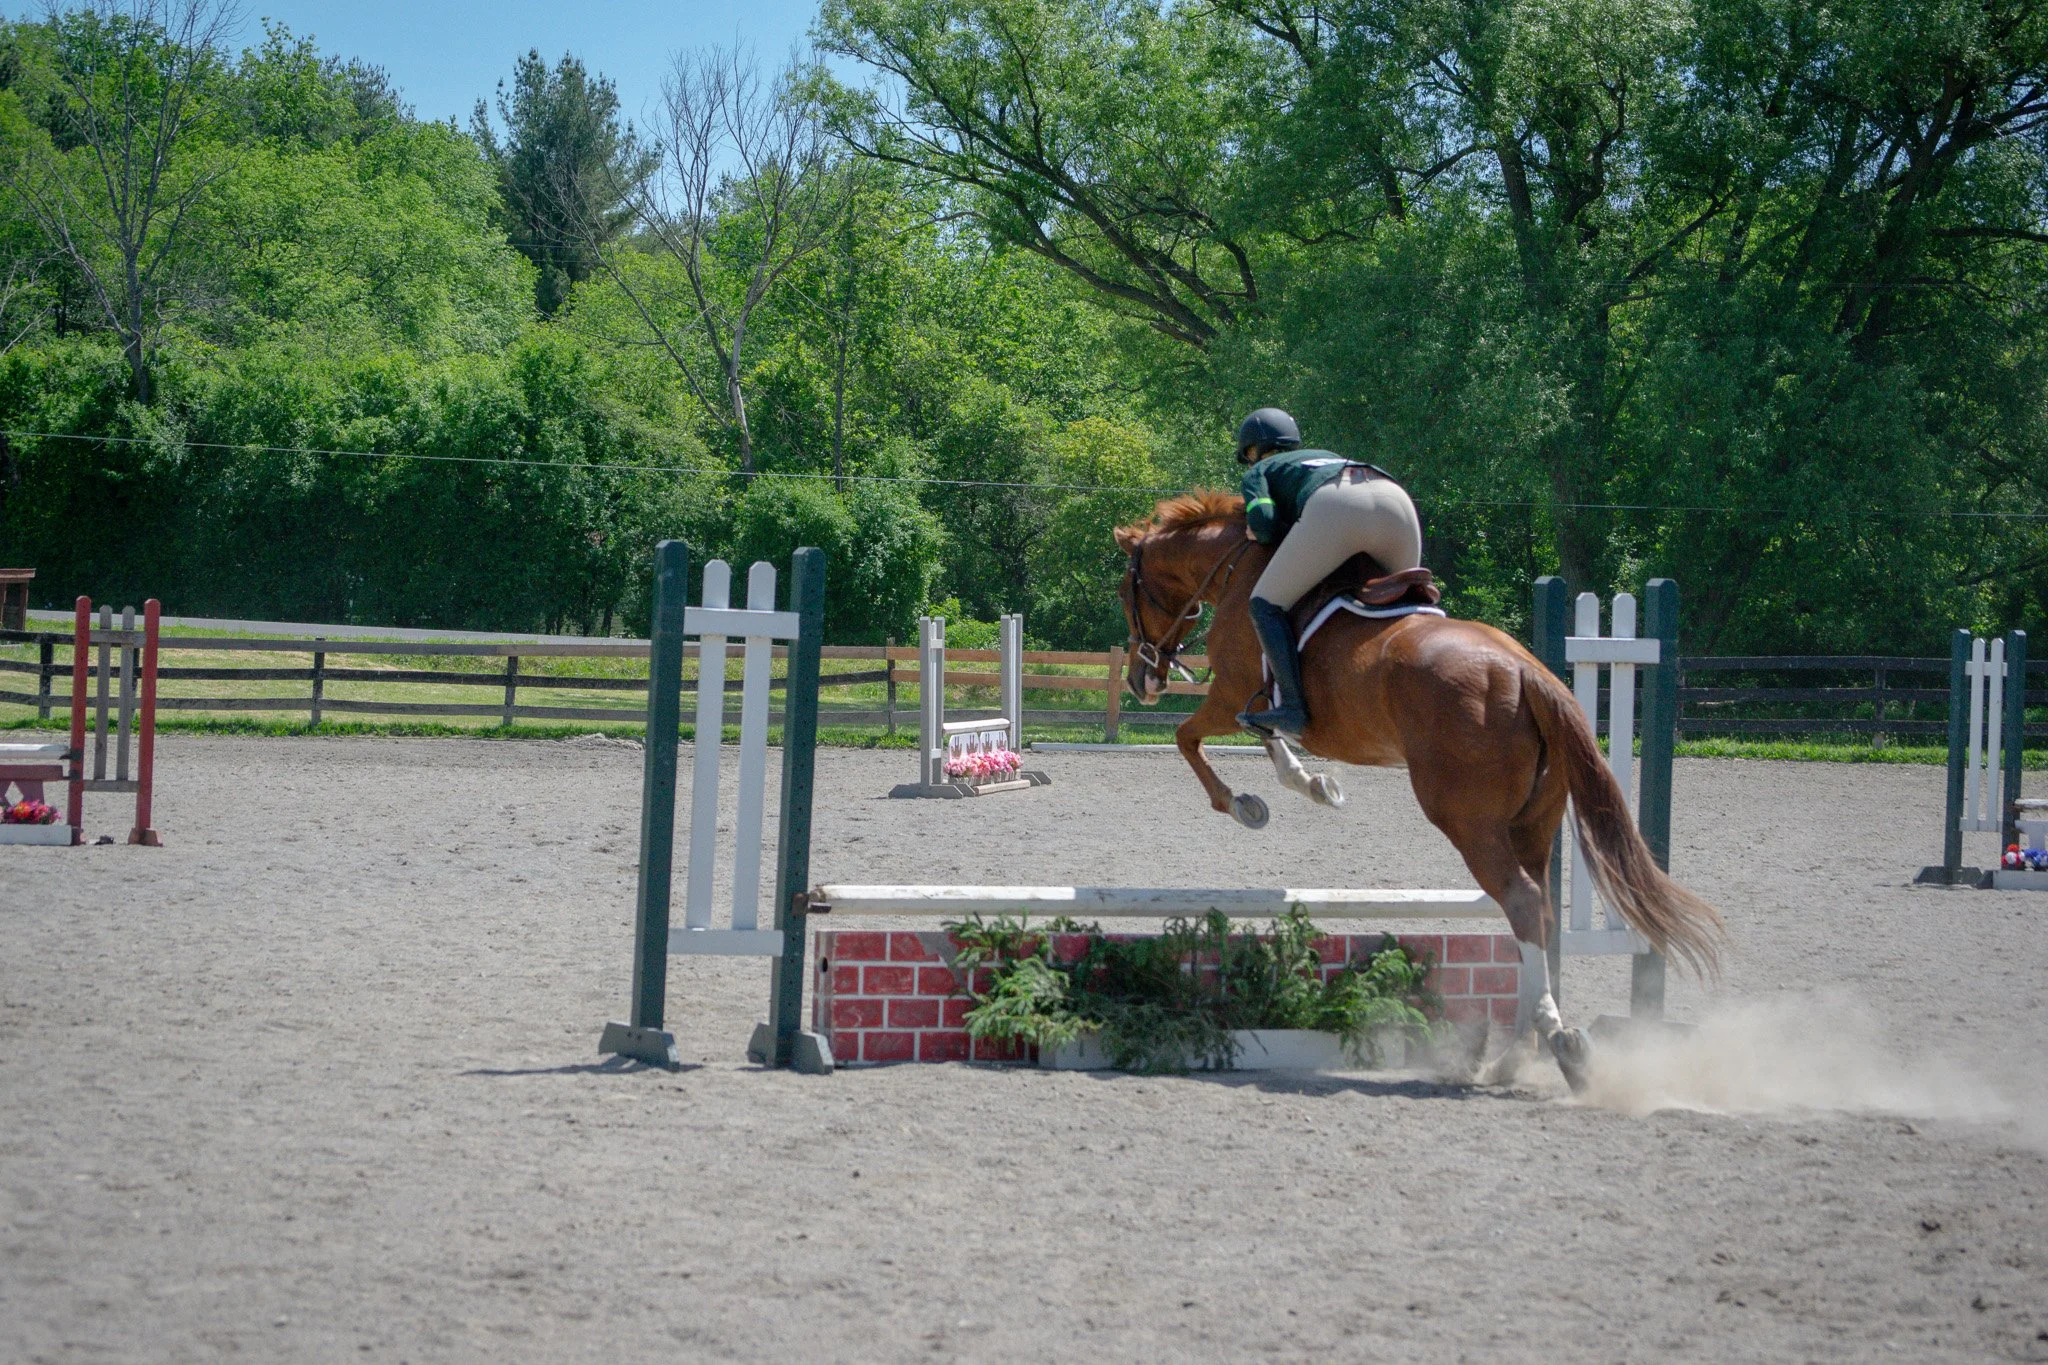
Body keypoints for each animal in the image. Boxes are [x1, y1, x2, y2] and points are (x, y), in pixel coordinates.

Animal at [1114, 490, 1723, 1087]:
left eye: (1127, 592)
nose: (1143, 681)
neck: (1237, 562)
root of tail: (1528, 672)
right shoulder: (1252, 704)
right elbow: (1268, 743)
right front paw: (1316, 785)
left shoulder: (1232, 694)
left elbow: (1188, 737)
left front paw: (1245, 805)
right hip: (1534, 821)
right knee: (1542, 914)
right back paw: (1515, 1055)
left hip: (1465, 818)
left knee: (1522, 899)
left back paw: (1552, 1043)